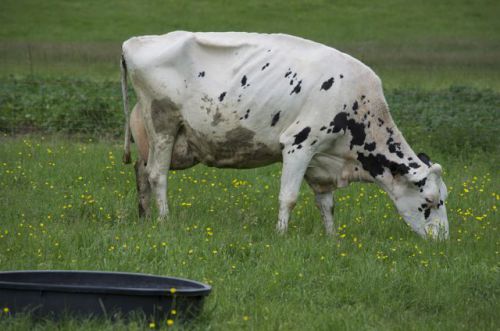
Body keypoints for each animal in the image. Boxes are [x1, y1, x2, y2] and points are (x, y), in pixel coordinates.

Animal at [120, 31, 450, 239]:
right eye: (429, 202)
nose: (442, 242)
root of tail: (134, 42)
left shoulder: (321, 161)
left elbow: (327, 203)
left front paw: (332, 238)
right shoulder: (299, 144)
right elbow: (288, 197)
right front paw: (281, 235)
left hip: (166, 140)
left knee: (141, 169)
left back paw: (144, 216)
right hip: (163, 123)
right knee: (157, 175)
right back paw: (164, 220)